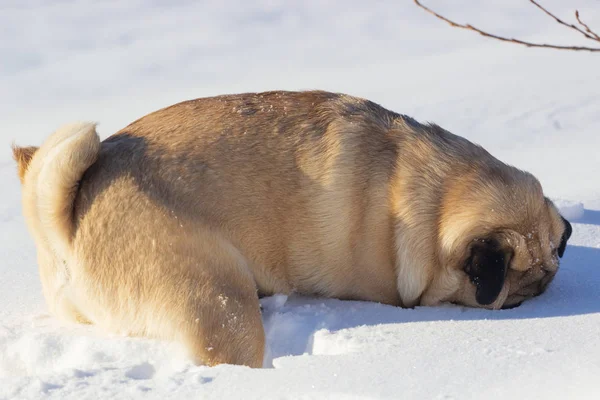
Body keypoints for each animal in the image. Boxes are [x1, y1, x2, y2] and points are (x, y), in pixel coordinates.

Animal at [10, 90, 572, 368]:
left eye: (549, 265)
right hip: (218, 300)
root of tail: (64, 220)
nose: (542, 287)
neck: (433, 197)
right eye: (513, 280)